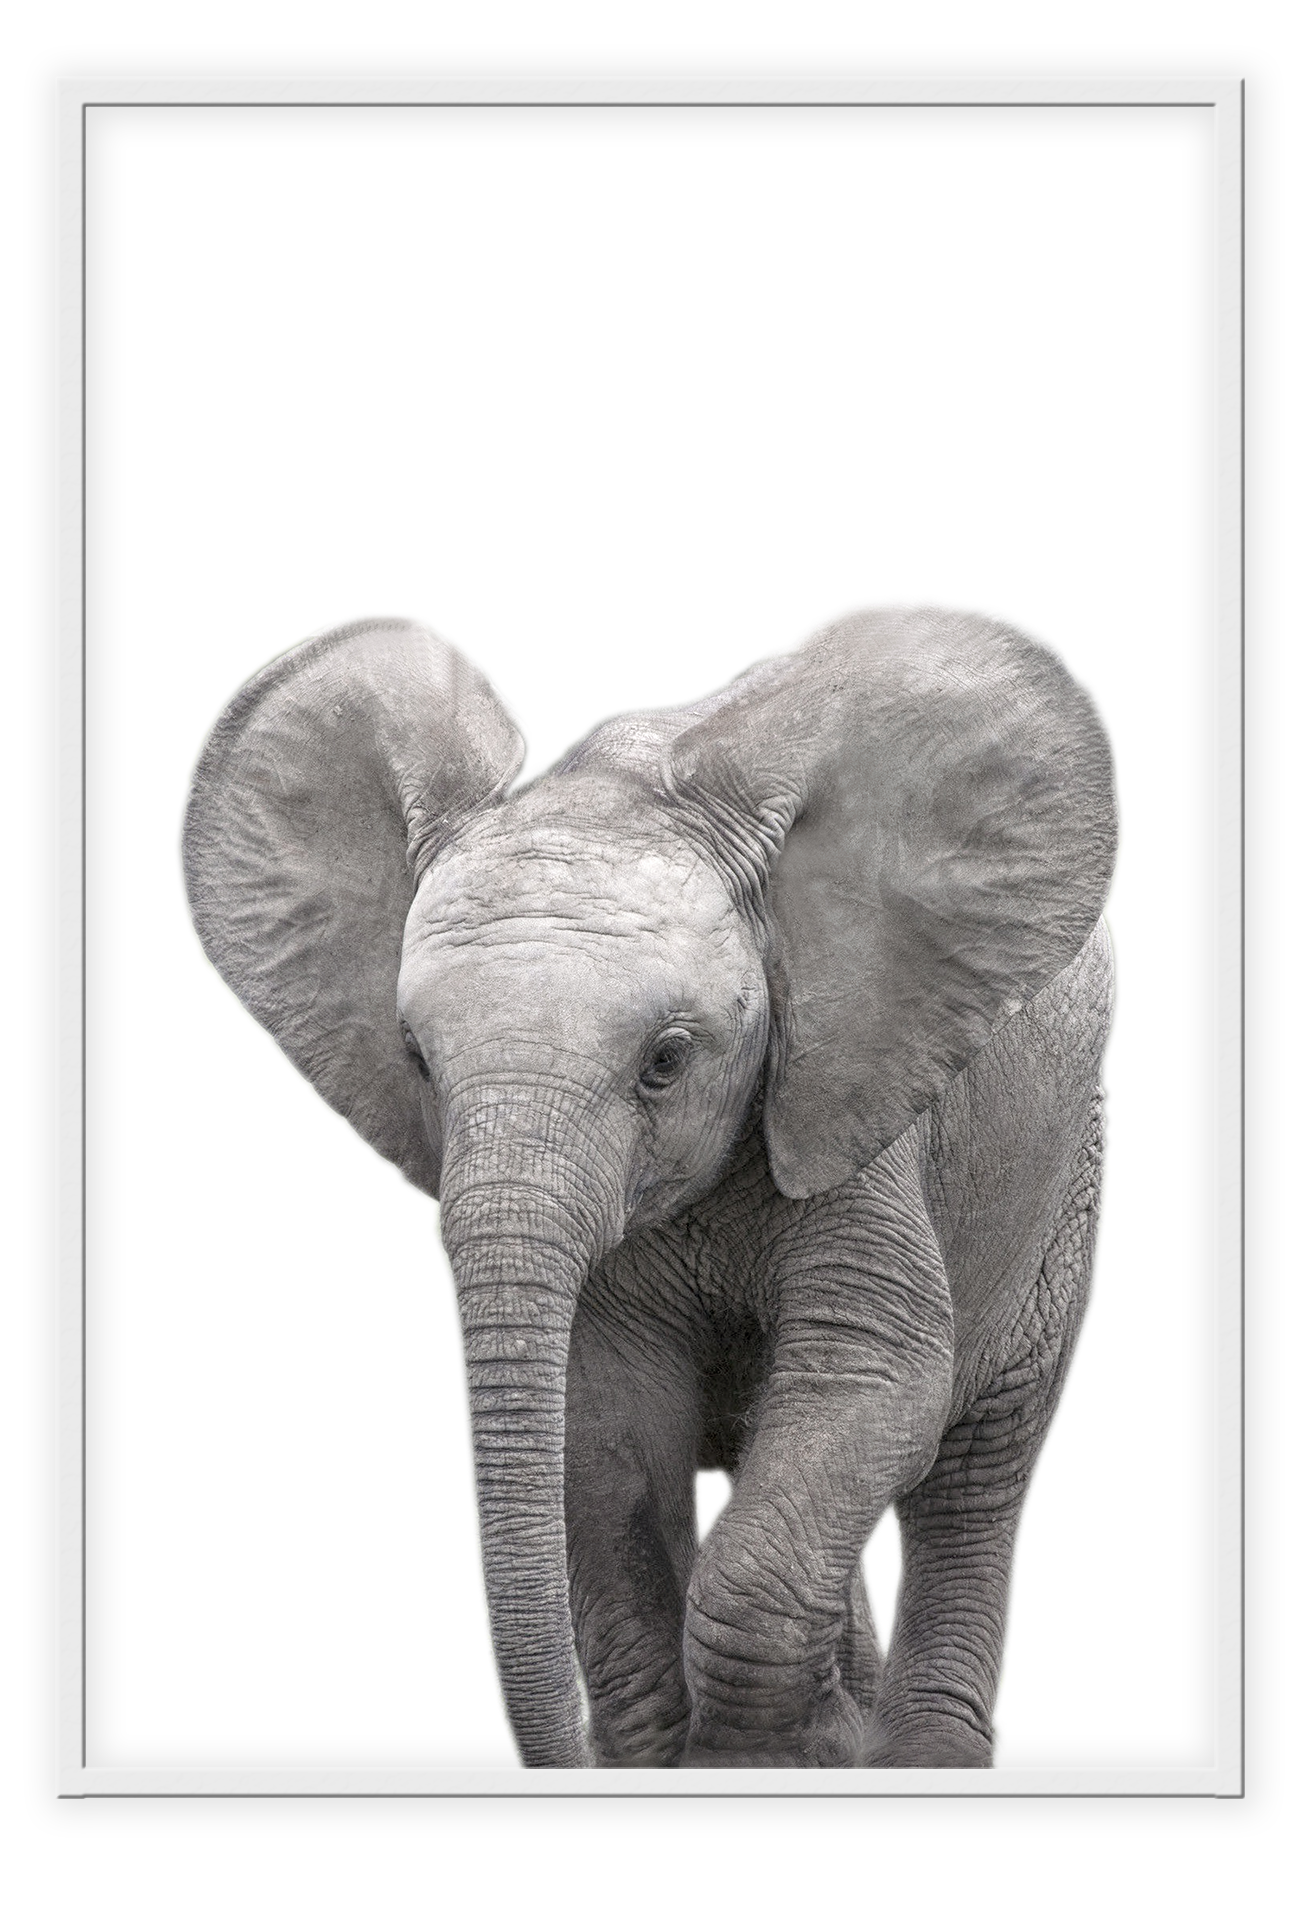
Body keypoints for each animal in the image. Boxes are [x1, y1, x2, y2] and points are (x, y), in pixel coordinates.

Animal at [183, 605, 1115, 1771]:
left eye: (666, 1060)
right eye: (417, 1061)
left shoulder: (856, 1107)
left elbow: (876, 1380)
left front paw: (770, 1755)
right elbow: (610, 1427)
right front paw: (712, 1749)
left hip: (1062, 1174)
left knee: (978, 1461)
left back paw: (912, 1752)